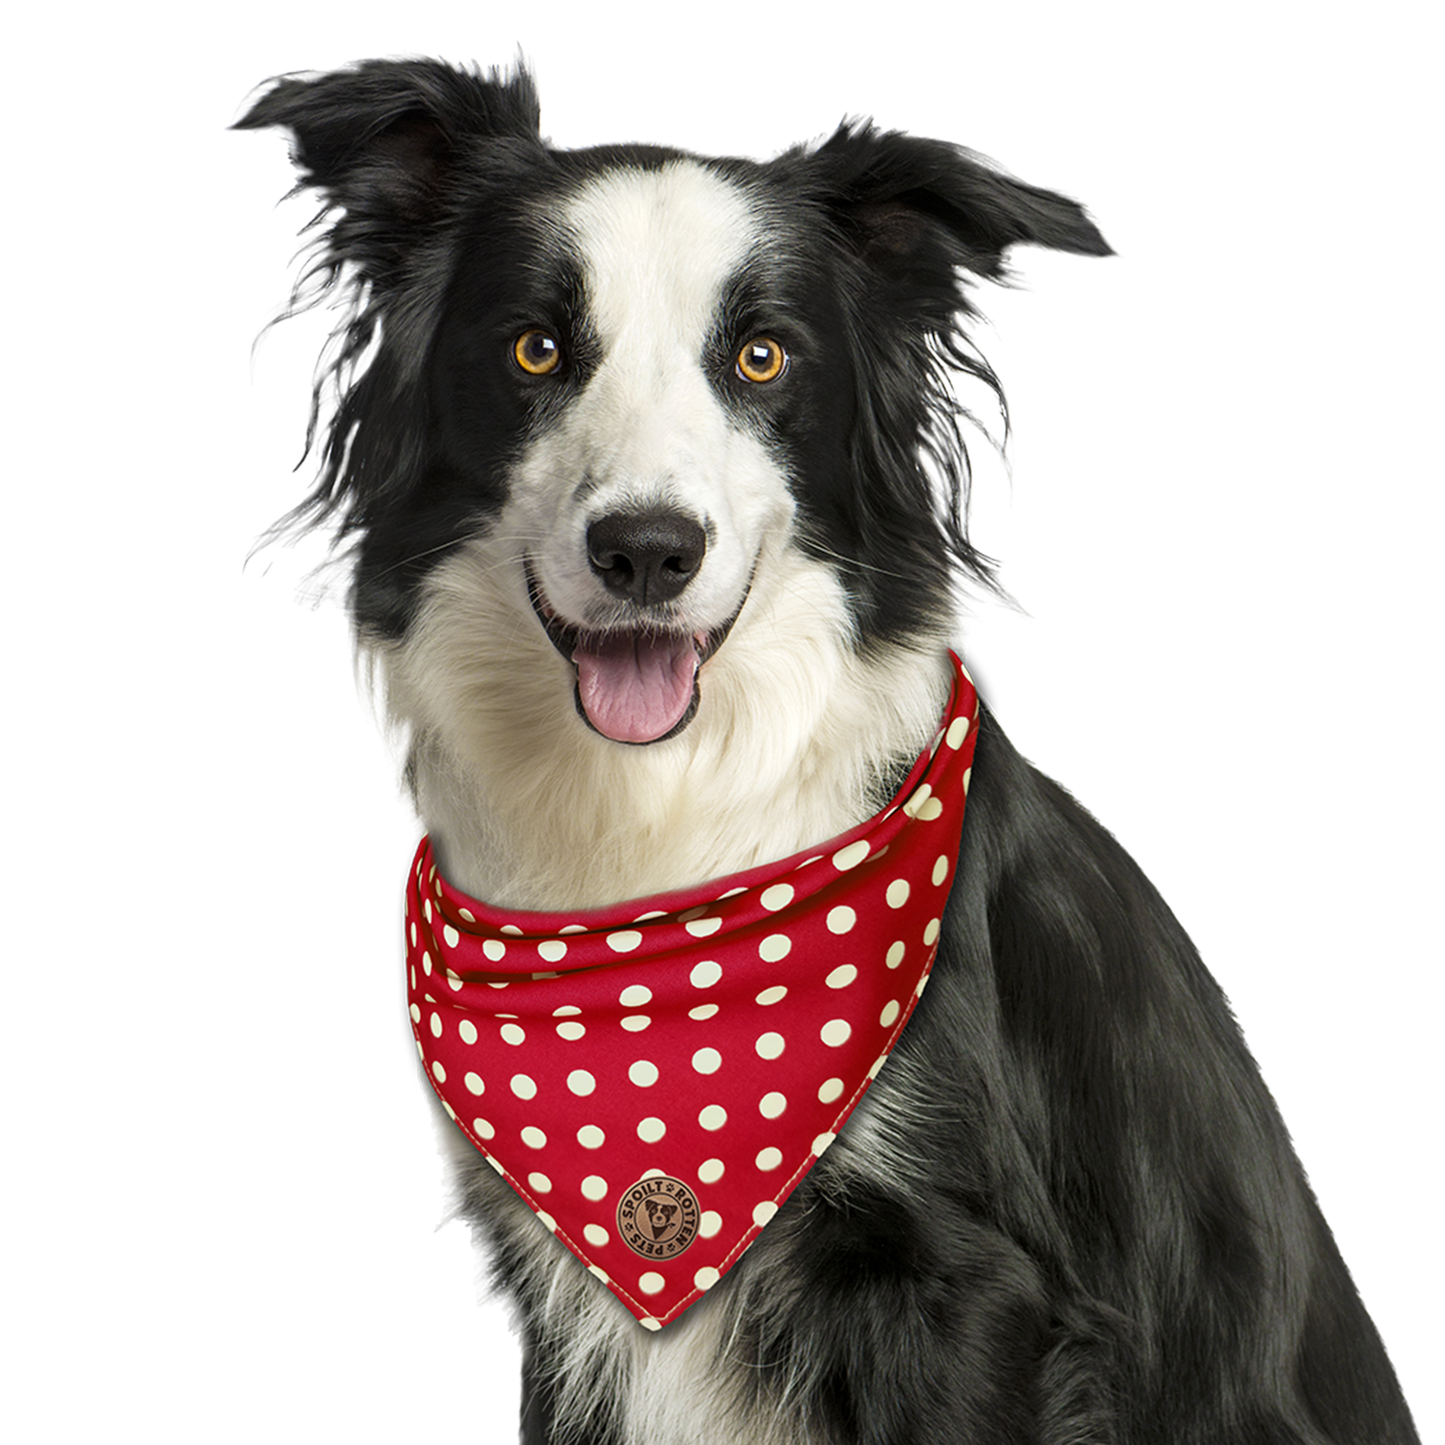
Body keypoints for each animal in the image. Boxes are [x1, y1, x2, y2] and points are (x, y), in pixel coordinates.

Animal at [239, 59, 1421, 1445]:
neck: (666, 847)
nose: (646, 550)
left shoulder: (965, 1282)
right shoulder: (559, 1298)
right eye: (535, 346)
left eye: (761, 356)